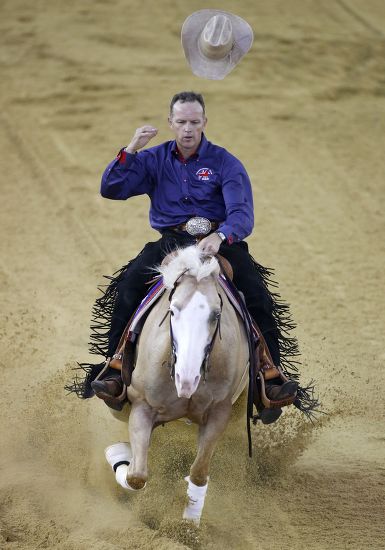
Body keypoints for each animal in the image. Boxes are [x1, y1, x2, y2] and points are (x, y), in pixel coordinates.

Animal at [106, 247, 249, 528]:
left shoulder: (219, 413)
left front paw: (187, 526)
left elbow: (199, 473)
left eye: (216, 315)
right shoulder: (142, 406)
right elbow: (137, 476)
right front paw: (118, 455)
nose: (187, 380)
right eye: (172, 311)